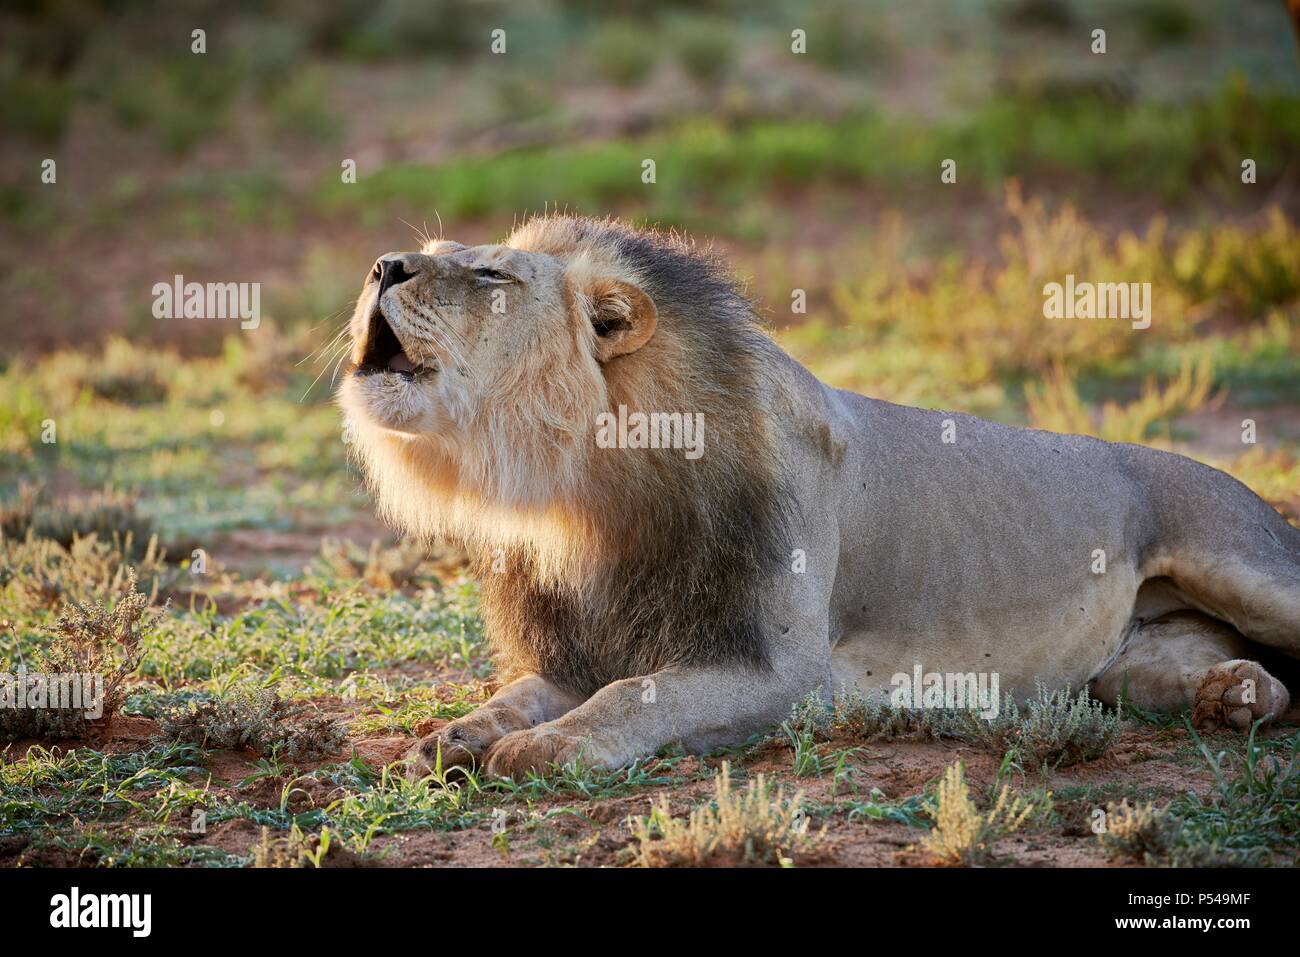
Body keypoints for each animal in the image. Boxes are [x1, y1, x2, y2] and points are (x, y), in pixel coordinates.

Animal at [337, 214, 1299, 780]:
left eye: (492, 276)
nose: (380, 264)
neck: (584, 497)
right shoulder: (572, 653)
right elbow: (514, 695)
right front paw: (451, 738)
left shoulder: (783, 670)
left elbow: (637, 696)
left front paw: (548, 746)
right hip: (1127, 663)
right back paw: (1237, 695)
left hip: (1245, 564)